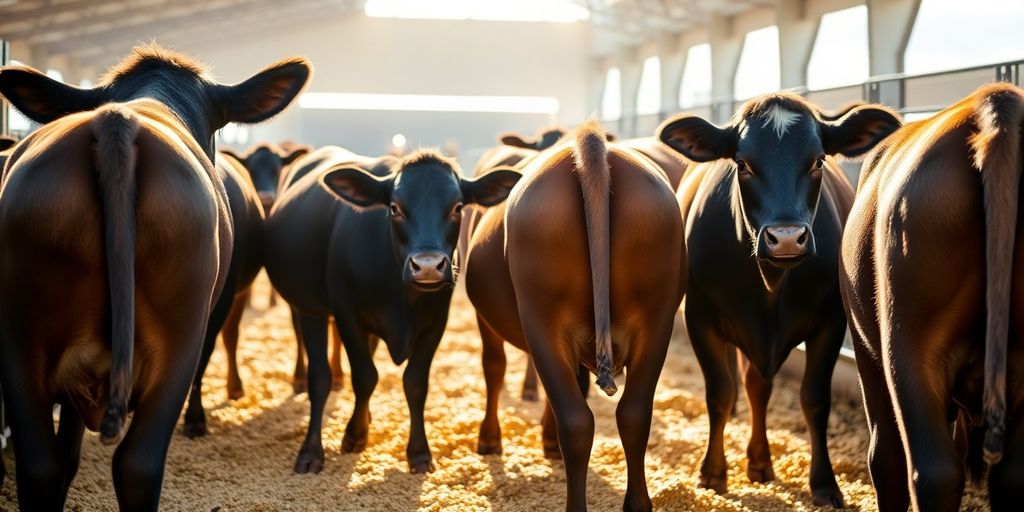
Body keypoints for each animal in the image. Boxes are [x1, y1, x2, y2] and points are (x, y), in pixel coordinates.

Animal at [263, 147, 520, 475]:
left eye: (458, 207)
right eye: (395, 208)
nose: (427, 266)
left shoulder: (435, 323)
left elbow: (415, 383)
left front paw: (419, 453)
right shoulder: (347, 315)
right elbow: (364, 376)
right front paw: (351, 437)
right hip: (308, 307)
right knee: (318, 375)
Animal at [465, 120, 685, 511]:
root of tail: (587, 147)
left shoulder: (487, 319)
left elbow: (494, 367)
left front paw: (493, 440)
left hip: (542, 320)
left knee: (576, 420)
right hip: (657, 316)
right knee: (633, 415)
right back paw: (638, 503)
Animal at [657, 93, 901, 508]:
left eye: (818, 160)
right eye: (742, 163)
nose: (786, 238)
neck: (771, 285)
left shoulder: (831, 322)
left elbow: (814, 400)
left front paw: (824, 484)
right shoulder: (700, 319)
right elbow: (719, 394)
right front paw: (712, 474)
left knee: (758, 387)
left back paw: (759, 461)